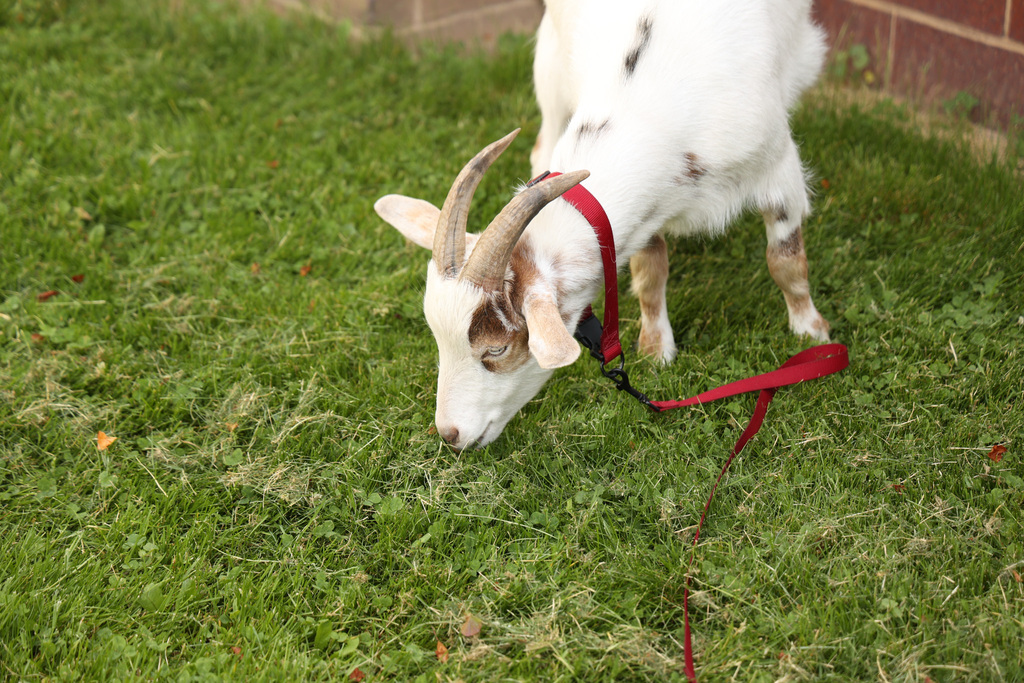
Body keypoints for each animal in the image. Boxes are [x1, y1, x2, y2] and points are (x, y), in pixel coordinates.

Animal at [374, 0, 831, 450]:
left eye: (497, 350)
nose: (449, 435)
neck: (649, 105)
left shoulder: (778, 168)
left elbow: (786, 263)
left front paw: (812, 333)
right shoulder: (645, 213)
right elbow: (651, 271)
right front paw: (656, 348)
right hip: (551, 66)